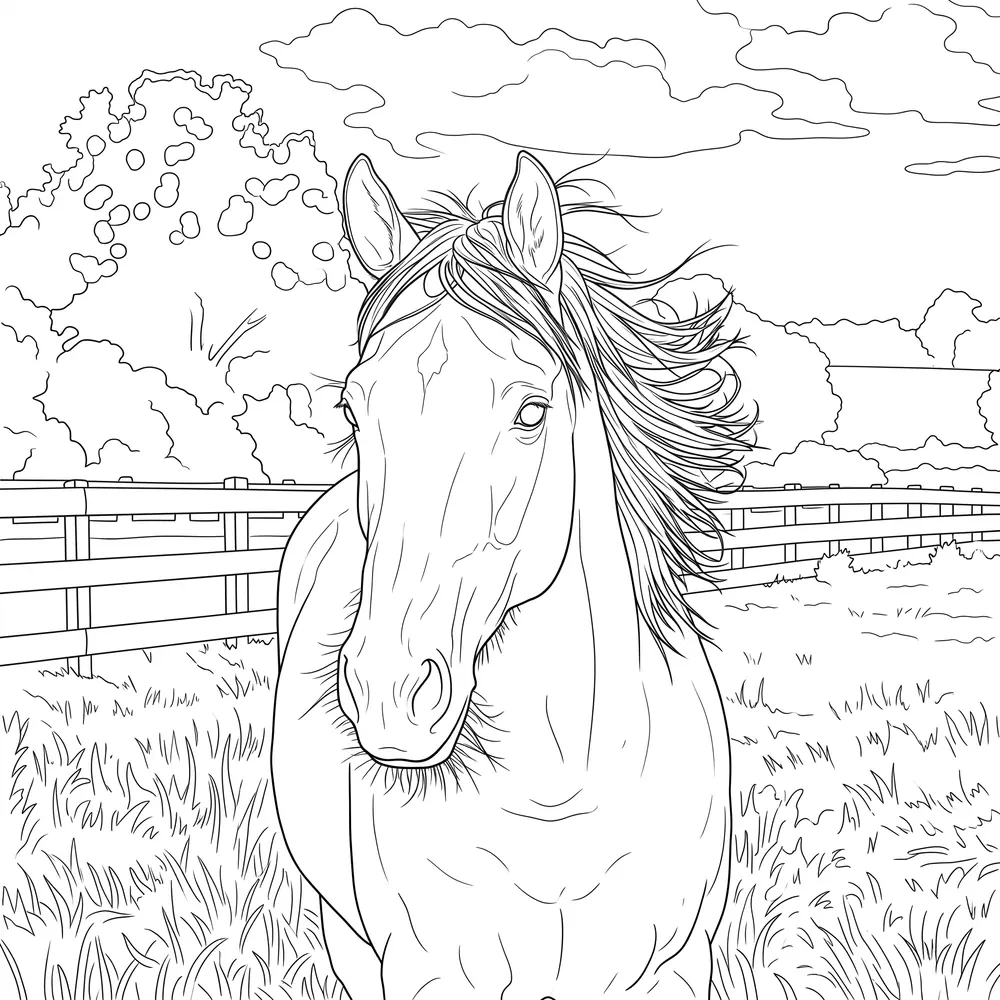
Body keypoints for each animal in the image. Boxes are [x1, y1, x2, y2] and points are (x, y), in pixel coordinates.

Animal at [272, 151, 749, 999]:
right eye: (354, 410)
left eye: (531, 411)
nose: (390, 690)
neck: (560, 789)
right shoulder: (427, 973)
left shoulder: (674, 967)